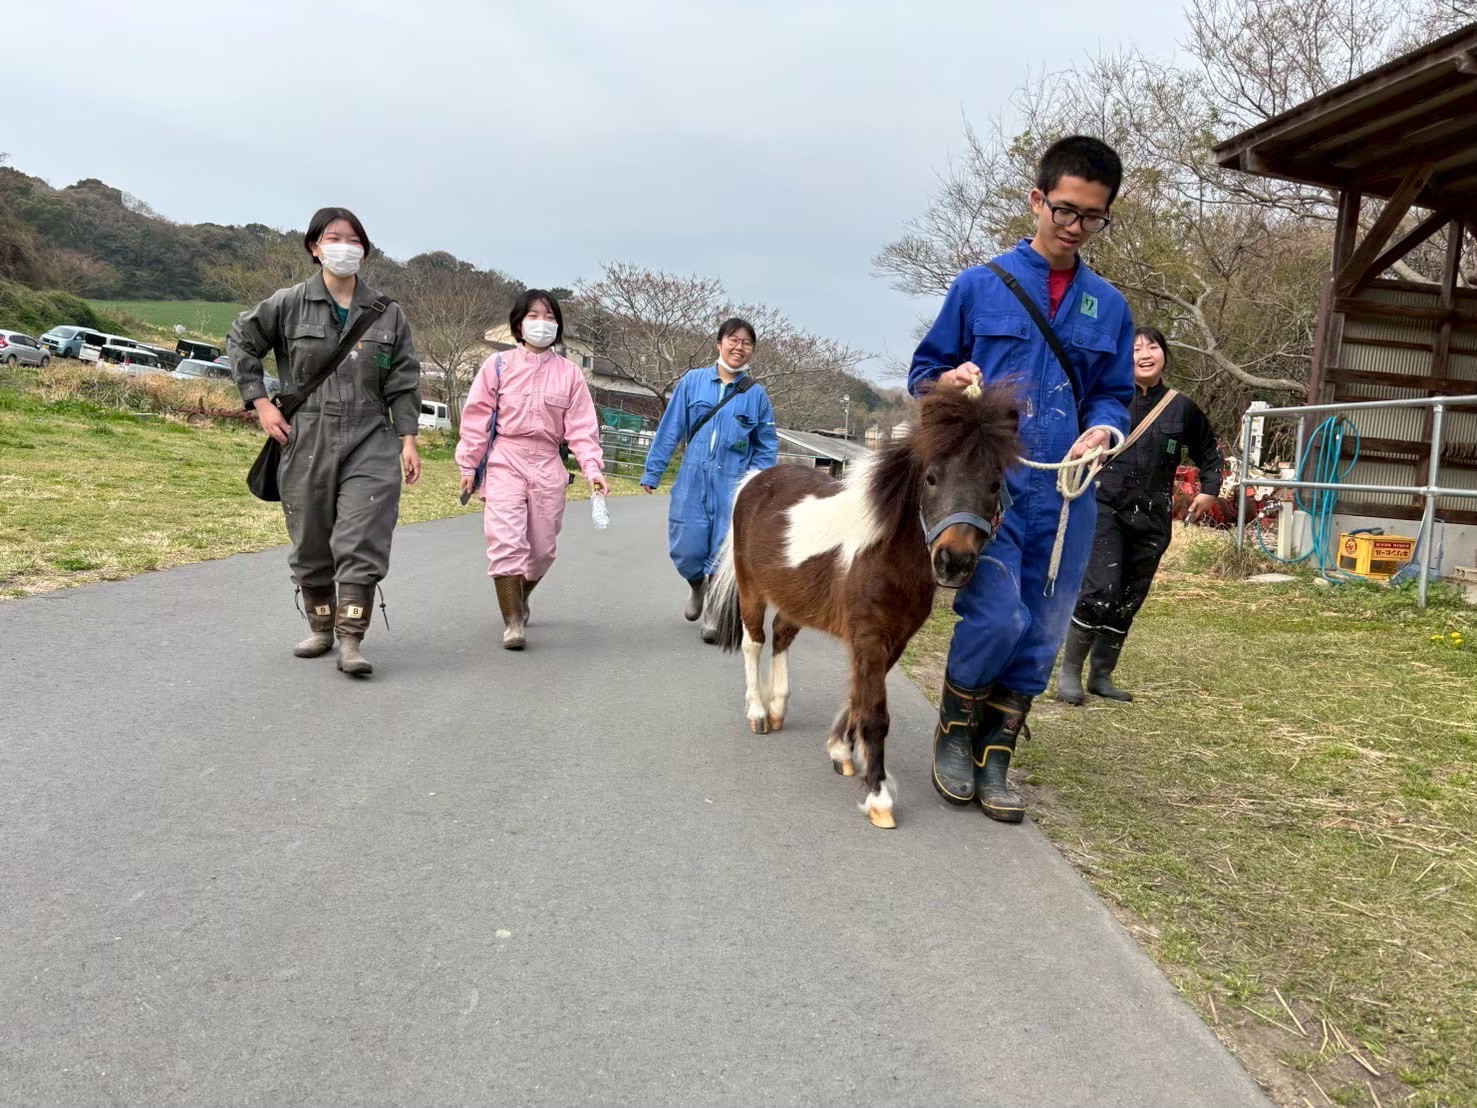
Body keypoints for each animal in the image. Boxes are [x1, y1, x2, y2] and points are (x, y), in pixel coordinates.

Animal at [704, 384, 1021, 829]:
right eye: (931, 477)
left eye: (995, 485)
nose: (954, 561)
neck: (884, 553)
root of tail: (755, 479)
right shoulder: (869, 638)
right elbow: (874, 714)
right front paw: (878, 796)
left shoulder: (893, 640)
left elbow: (858, 697)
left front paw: (840, 750)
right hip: (751, 589)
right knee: (754, 643)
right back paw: (758, 712)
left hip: (798, 601)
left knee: (781, 636)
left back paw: (778, 706)